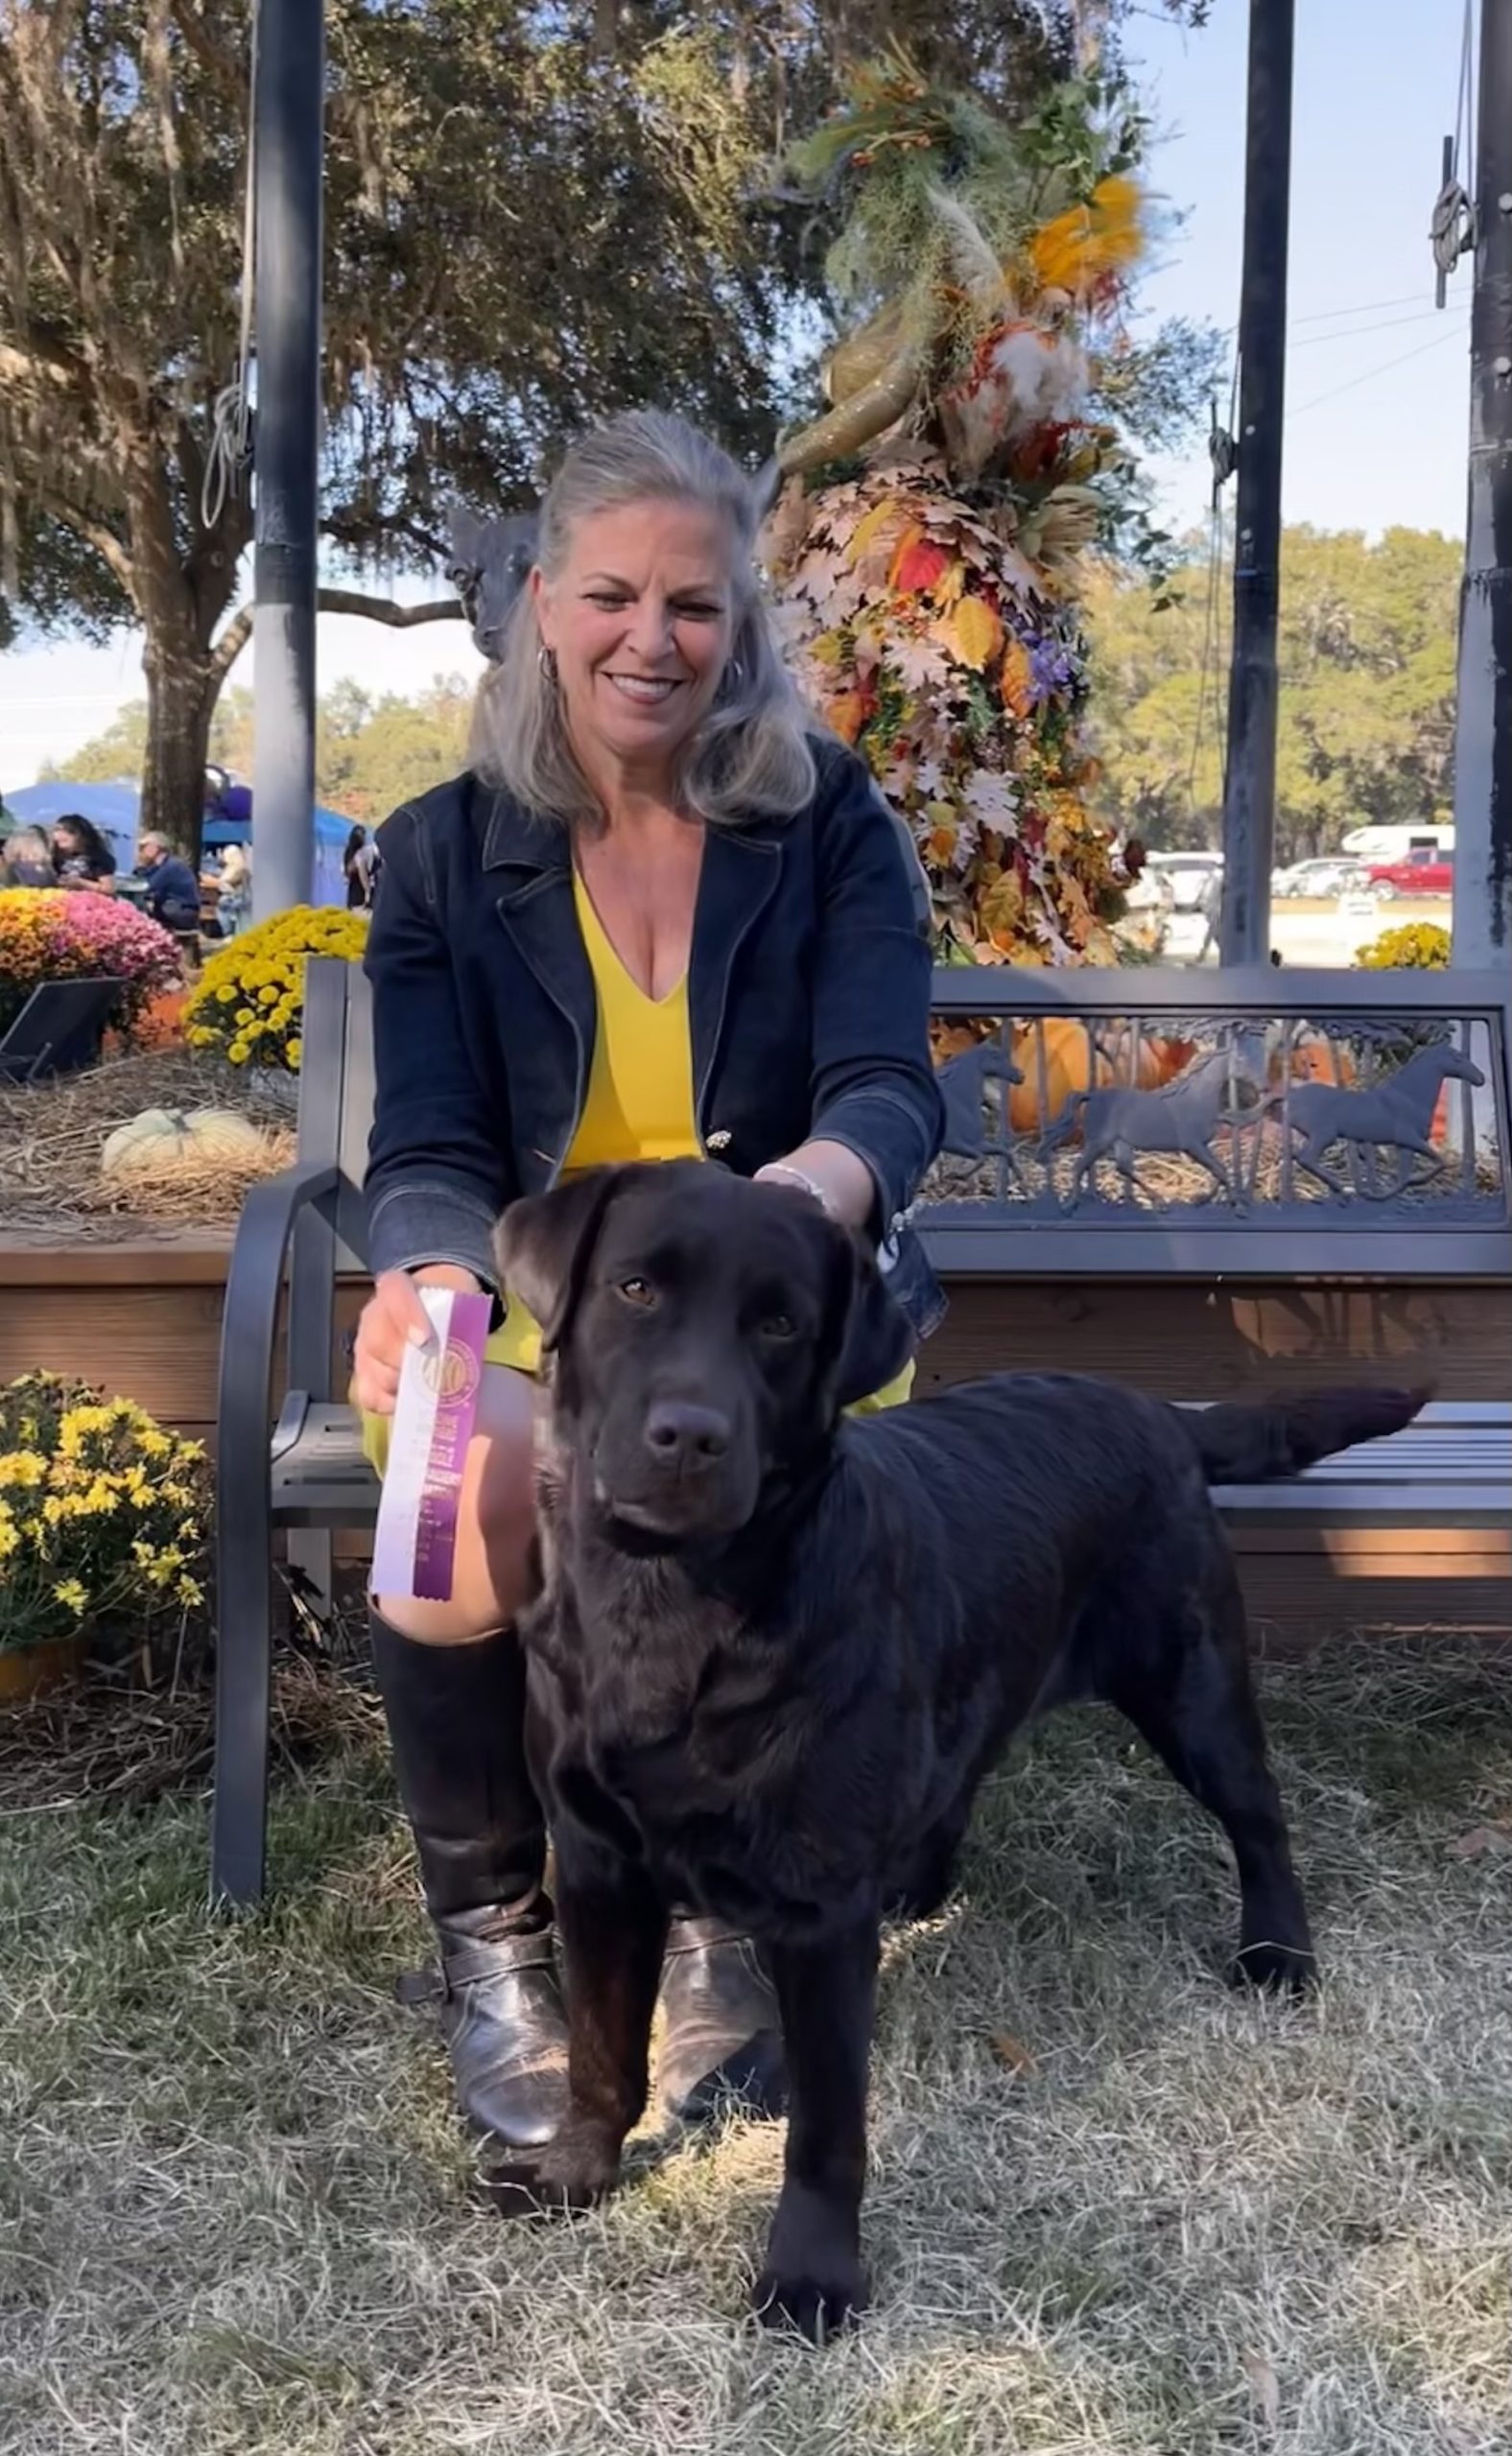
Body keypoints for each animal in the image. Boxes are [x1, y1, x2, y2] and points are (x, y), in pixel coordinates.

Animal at [488, 1161, 1425, 2340]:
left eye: (781, 1325)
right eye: (635, 1288)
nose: (689, 1436)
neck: (668, 1605)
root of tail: (1154, 1406)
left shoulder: (814, 1909)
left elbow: (827, 2128)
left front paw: (812, 2278)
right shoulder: (598, 1858)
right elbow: (603, 2049)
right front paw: (575, 2172)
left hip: (1193, 1683)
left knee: (1259, 1818)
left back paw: (1277, 1955)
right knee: (959, 1773)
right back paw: (914, 1888)